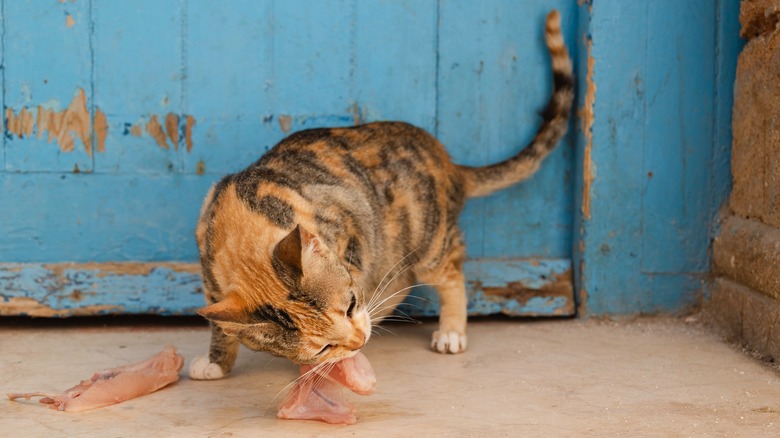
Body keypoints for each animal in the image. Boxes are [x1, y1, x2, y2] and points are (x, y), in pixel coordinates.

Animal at [189, 11, 572, 380]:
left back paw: (450, 331)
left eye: (349, 304)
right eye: (322, 347)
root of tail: (447, 162)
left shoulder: (349, 218)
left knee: (449, 271)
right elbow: (220, 326)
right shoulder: (211, 281)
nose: (359, 340)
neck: (238, 223)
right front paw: (217, 363)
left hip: (426, 237)